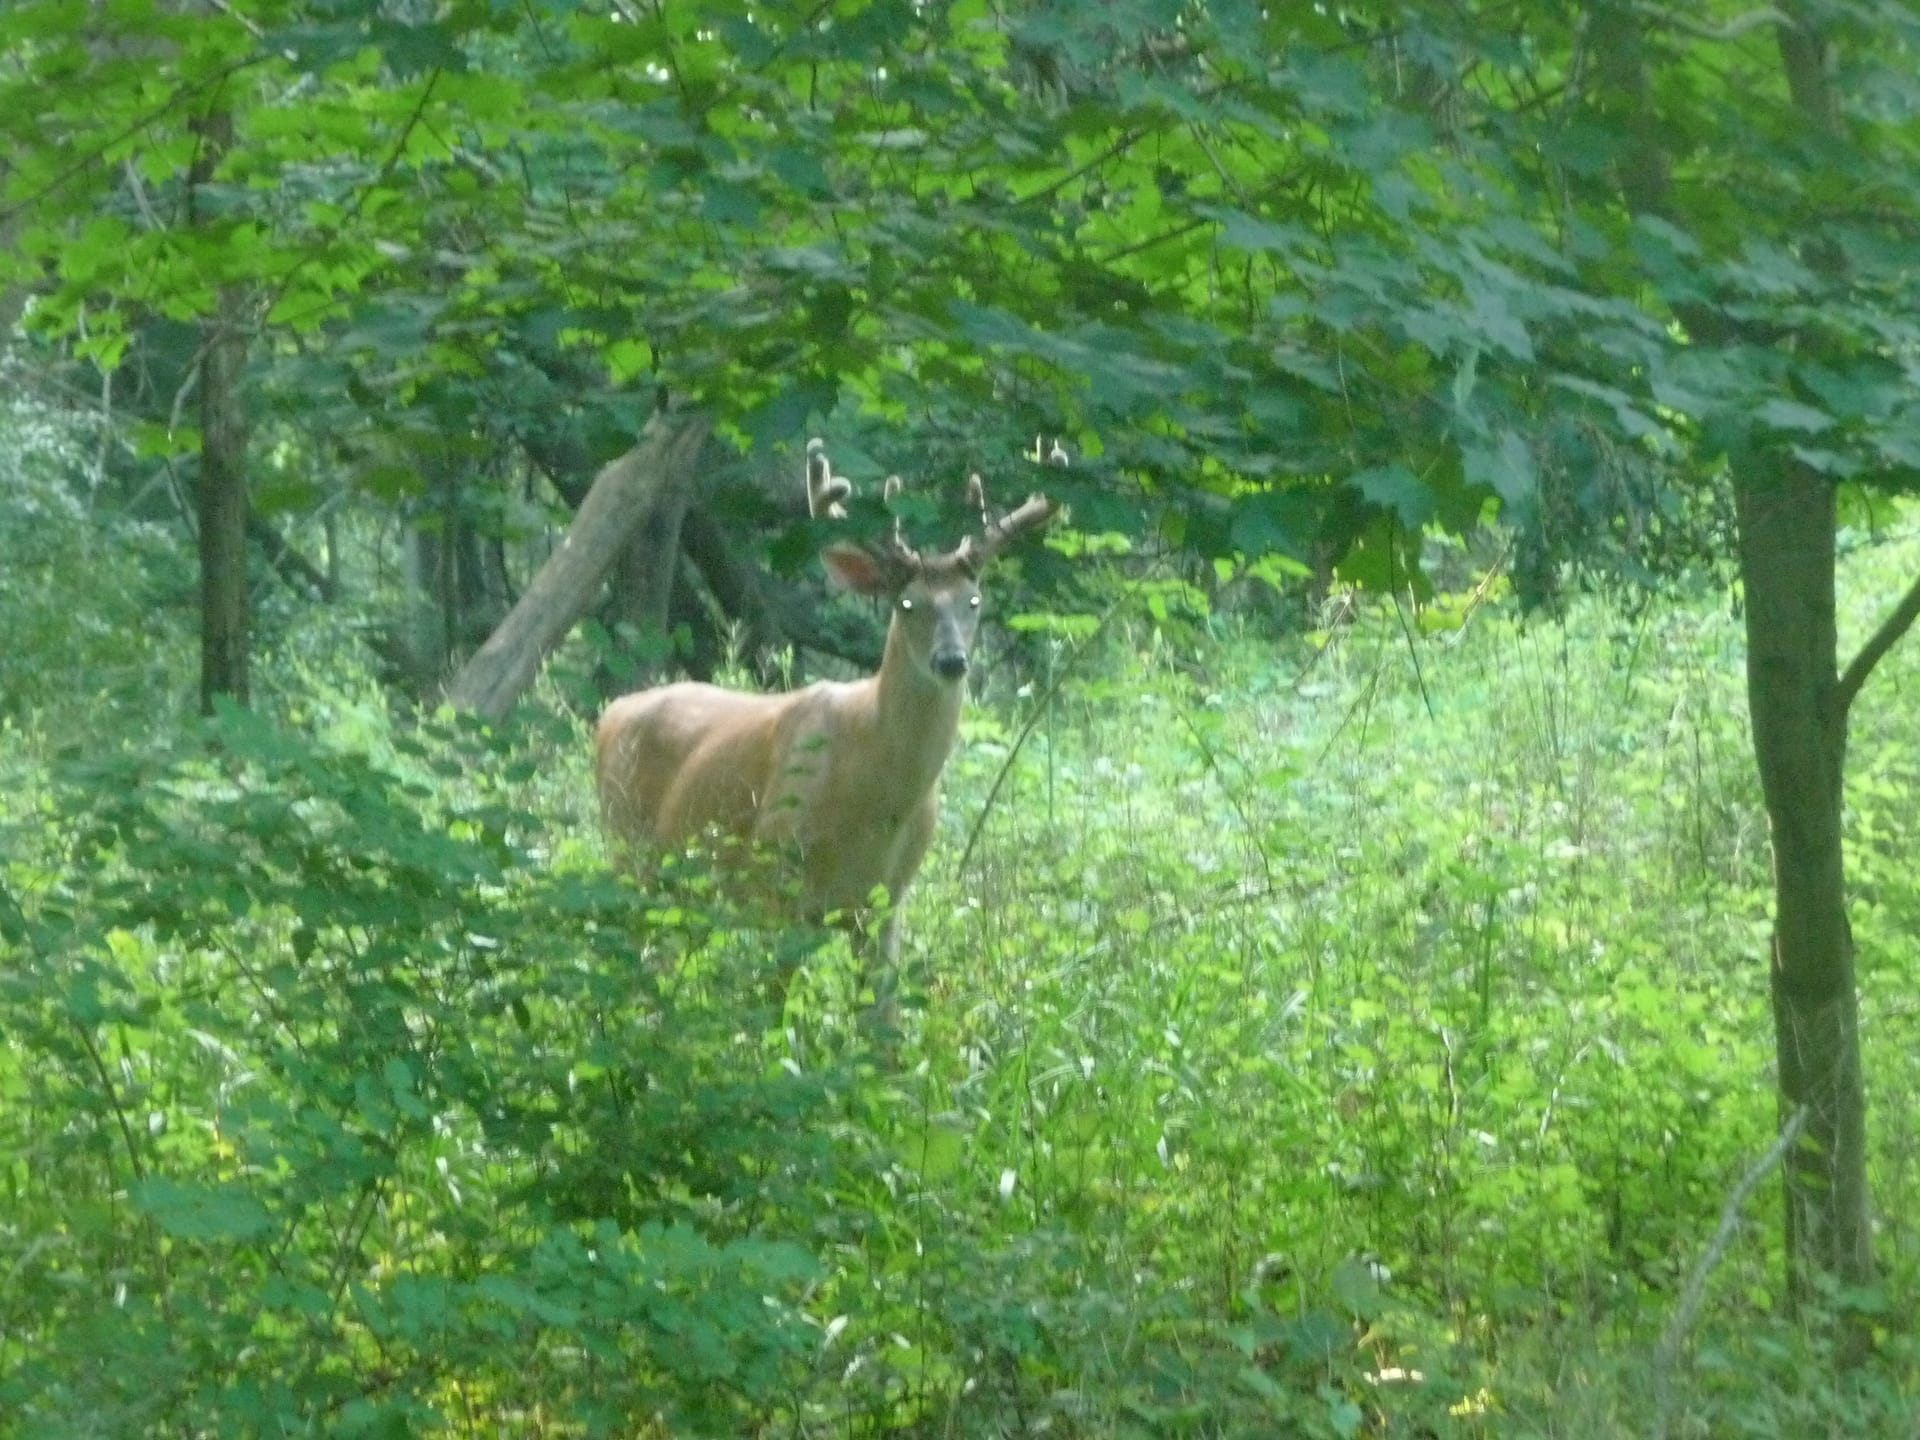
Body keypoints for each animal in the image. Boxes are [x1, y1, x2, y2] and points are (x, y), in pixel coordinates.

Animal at [595, 439, 1067, 1013]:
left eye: (973, 602)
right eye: (906, 603)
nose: (952, 661)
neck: (875, 798)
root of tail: (611, 713)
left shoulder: (885, 903)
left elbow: (881, 1020)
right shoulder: (780, 882)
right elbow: (773, 1008)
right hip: (627, 848)